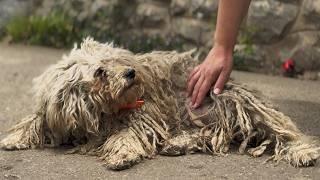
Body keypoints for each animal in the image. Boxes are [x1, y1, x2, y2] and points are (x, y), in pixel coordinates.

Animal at [1, 38, 318, 170]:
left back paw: (303, 152)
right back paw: (177, 144)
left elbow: (127, 136)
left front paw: (122, 155)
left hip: (232, 104)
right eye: (100, 72)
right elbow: (34, 120)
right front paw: (13, 138)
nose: (131, 73)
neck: (99, 112)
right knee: (201, 134)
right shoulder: (53, 111)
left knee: (283, 132)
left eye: (116, 60)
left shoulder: (140, 116)